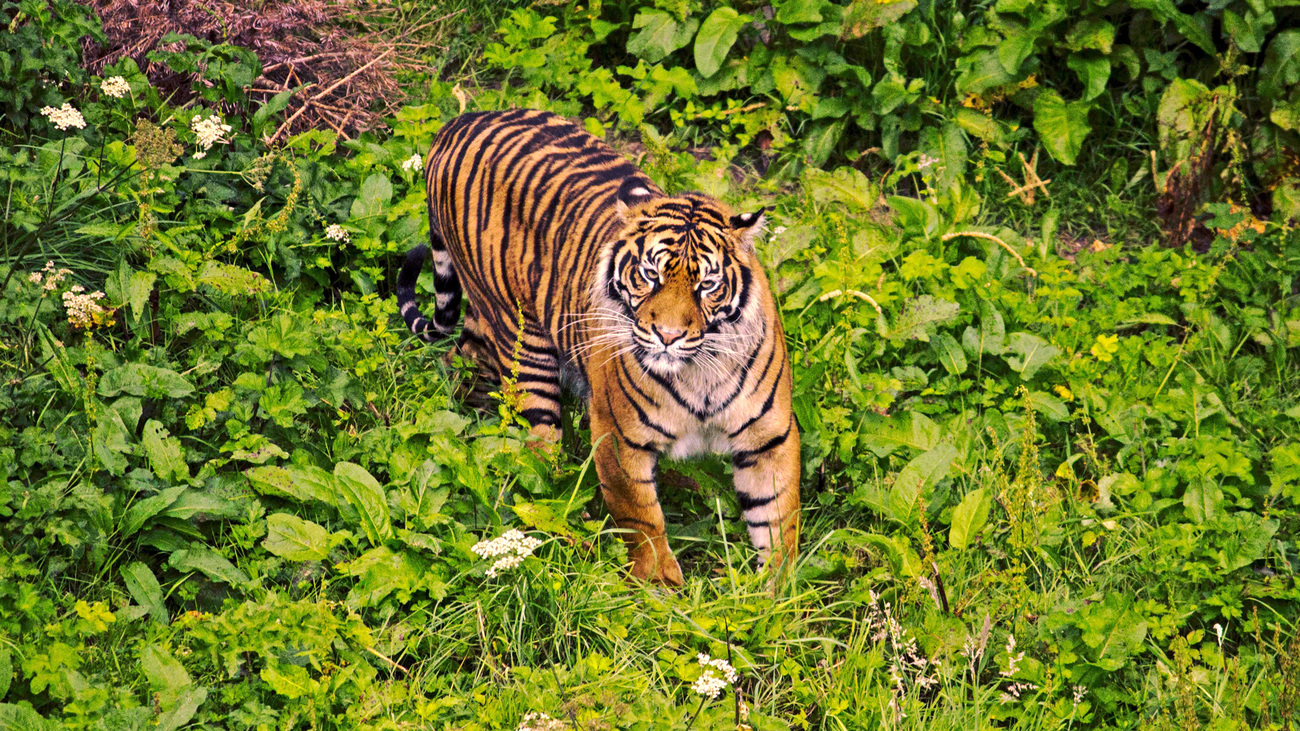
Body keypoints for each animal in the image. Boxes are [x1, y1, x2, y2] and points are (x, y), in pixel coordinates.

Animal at [392, 109, 800, 585]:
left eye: (707, 285)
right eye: (650, 275)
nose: (668, 335)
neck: (699, 371)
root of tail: (459, 121)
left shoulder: (770, 437)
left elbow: (779, 520)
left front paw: (778, 591)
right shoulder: (619, 436)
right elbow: (642, 519)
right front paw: (661, 587)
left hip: (483, 324)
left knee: (463, 361)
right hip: (522, 341)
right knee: (538, 455)